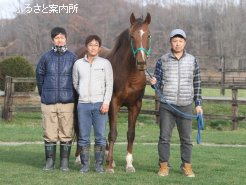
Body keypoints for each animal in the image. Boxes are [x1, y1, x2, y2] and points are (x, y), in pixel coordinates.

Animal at [75, 13, 152, 173]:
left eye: (148, 35)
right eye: (131, 36)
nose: (141, 63)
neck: (129, 75)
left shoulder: (135, 106)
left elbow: (130, 134)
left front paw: (129, 165)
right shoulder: (113, 104)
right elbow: (113, 134)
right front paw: (109, 166)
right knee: (79, 128)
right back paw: (79, 158)